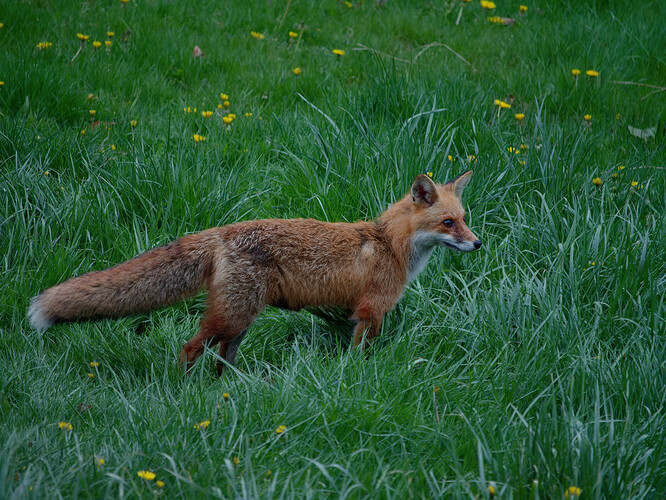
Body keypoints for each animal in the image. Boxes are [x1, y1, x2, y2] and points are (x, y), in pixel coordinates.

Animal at [29, 172, 478, 372]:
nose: (478, 244)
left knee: (221, 359)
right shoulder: (370, 311)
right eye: (447, 223)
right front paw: (358, 378)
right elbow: (360, 355)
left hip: (241, 320)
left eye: (464, 219)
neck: (389, 243)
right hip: (234, 316)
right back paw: (185, 394)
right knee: (190, 347)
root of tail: (222, 231)